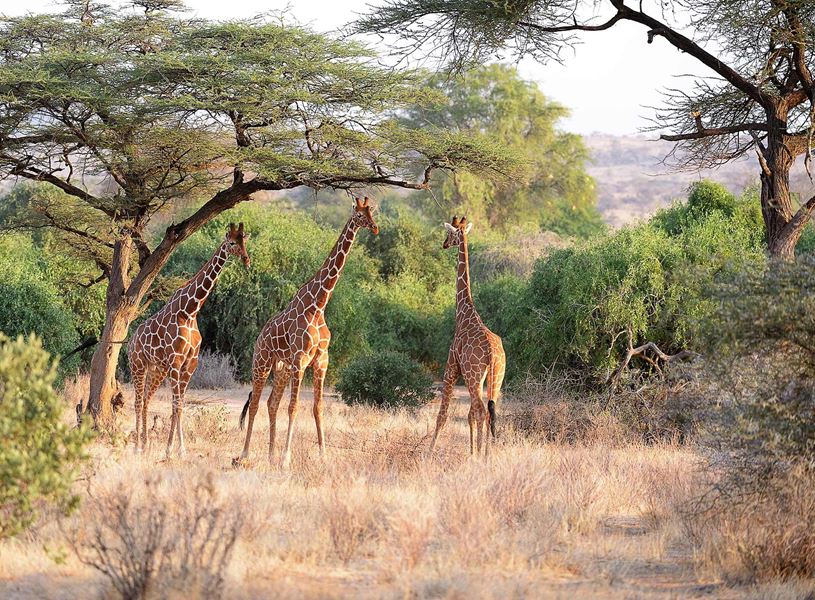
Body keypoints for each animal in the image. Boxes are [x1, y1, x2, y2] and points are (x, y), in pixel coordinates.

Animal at [128, 222, 251, 458]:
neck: (190, 311)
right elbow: (175, 403)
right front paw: (169, 449)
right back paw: (137, 446)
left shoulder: (190, 363)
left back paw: (146, 444)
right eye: (232, 242)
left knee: (146, 399)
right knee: (138, 401)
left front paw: (180, 449)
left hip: (156, 369)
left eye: (244, 241)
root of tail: (130, 342)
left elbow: (181, 404)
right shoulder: (176, 361)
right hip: (138, 365)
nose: (246, 260)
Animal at [235, 196, 378, 468]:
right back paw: (245, 454)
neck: (318, 305)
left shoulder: (321, 360)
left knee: (271, 403)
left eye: (371, 212)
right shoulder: (301, 360)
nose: (375, 228)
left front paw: (323, 456)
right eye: (358, 215)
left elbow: (317, 407)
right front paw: (286, 459)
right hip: (261, 363)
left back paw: (270, 456)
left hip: (281, 369)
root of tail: (259, 337)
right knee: (256, 403)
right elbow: (294, 407)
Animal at [430, 215, 506, 457]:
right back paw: (487, 455)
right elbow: (470, 414)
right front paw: (472, 452)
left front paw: (428, 451)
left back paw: (481, 456)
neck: (464, 310)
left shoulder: (451, 367)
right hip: (496, 377)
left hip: (473, 376)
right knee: (489, 410)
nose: (445, 244)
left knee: (481, 410)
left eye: (451, 233)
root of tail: (492, 354)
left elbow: (443, 414)